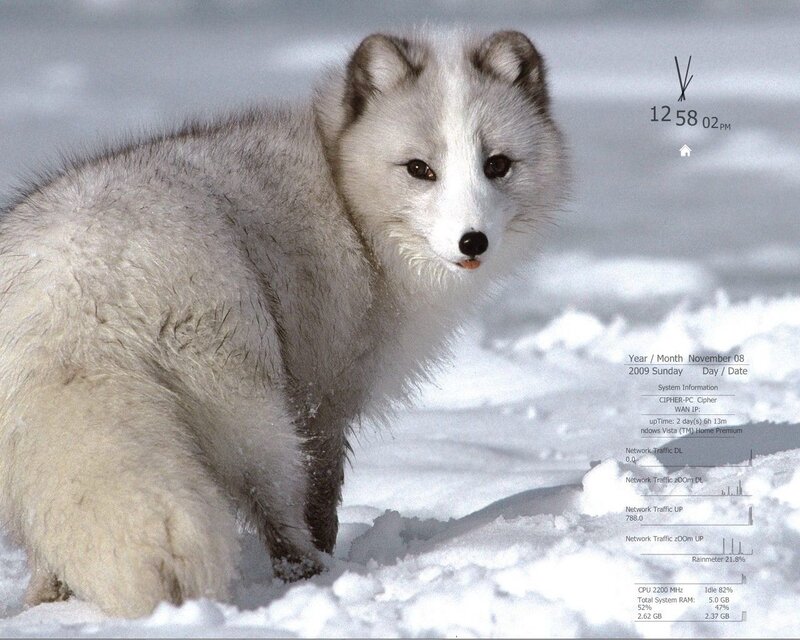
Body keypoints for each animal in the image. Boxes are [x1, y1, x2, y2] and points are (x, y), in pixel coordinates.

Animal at [0, 28, 567, 617]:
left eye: (497, 165)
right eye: (419, 169)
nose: (472, 241)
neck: (345, 195)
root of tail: (75, 284)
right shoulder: (324, 394)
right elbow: (322, 491)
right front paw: (325, 548)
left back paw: (44, 602)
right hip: (248, 407)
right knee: (272, 503)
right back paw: (311, 573)